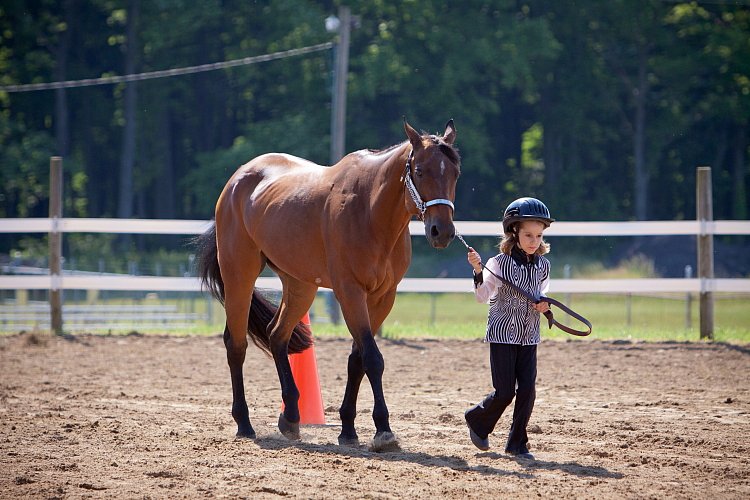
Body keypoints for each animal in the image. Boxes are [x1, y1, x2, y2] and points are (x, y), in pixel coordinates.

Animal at [197, 120, 462, 450]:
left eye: (455, 173)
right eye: (421, 171)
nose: (443, 231)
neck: (370, 211)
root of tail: (237, 179)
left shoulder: (383, 298)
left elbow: (357, 359)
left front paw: (348, 428)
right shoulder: (350, 292)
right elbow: (373, 358)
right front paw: (383, 429)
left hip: (300, 286)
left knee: (276, 334)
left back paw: (291, 417)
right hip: (239, 276)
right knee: (236, 345)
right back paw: (244, 423)